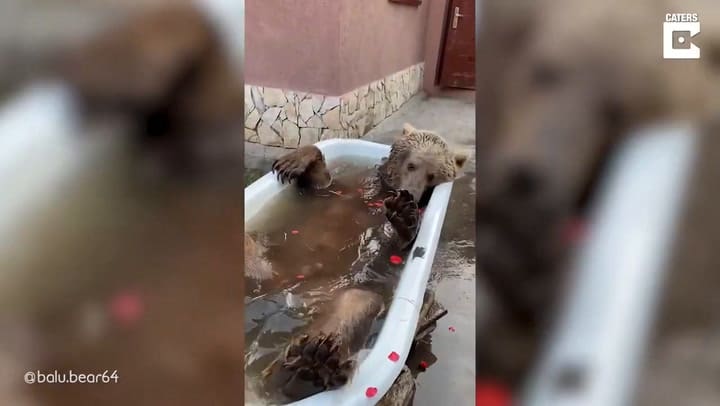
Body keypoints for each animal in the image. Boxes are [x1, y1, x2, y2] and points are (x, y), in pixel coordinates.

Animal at [247, 124, 467, 403]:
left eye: (433, 176)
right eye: (412, 165)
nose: (412, 195)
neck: (383, 191)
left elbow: (396, 247)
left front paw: (404, 217)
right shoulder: (351, 187)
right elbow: (322, 184)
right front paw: (293, 162)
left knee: (356, 302)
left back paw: (312, 365)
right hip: (264, 257)